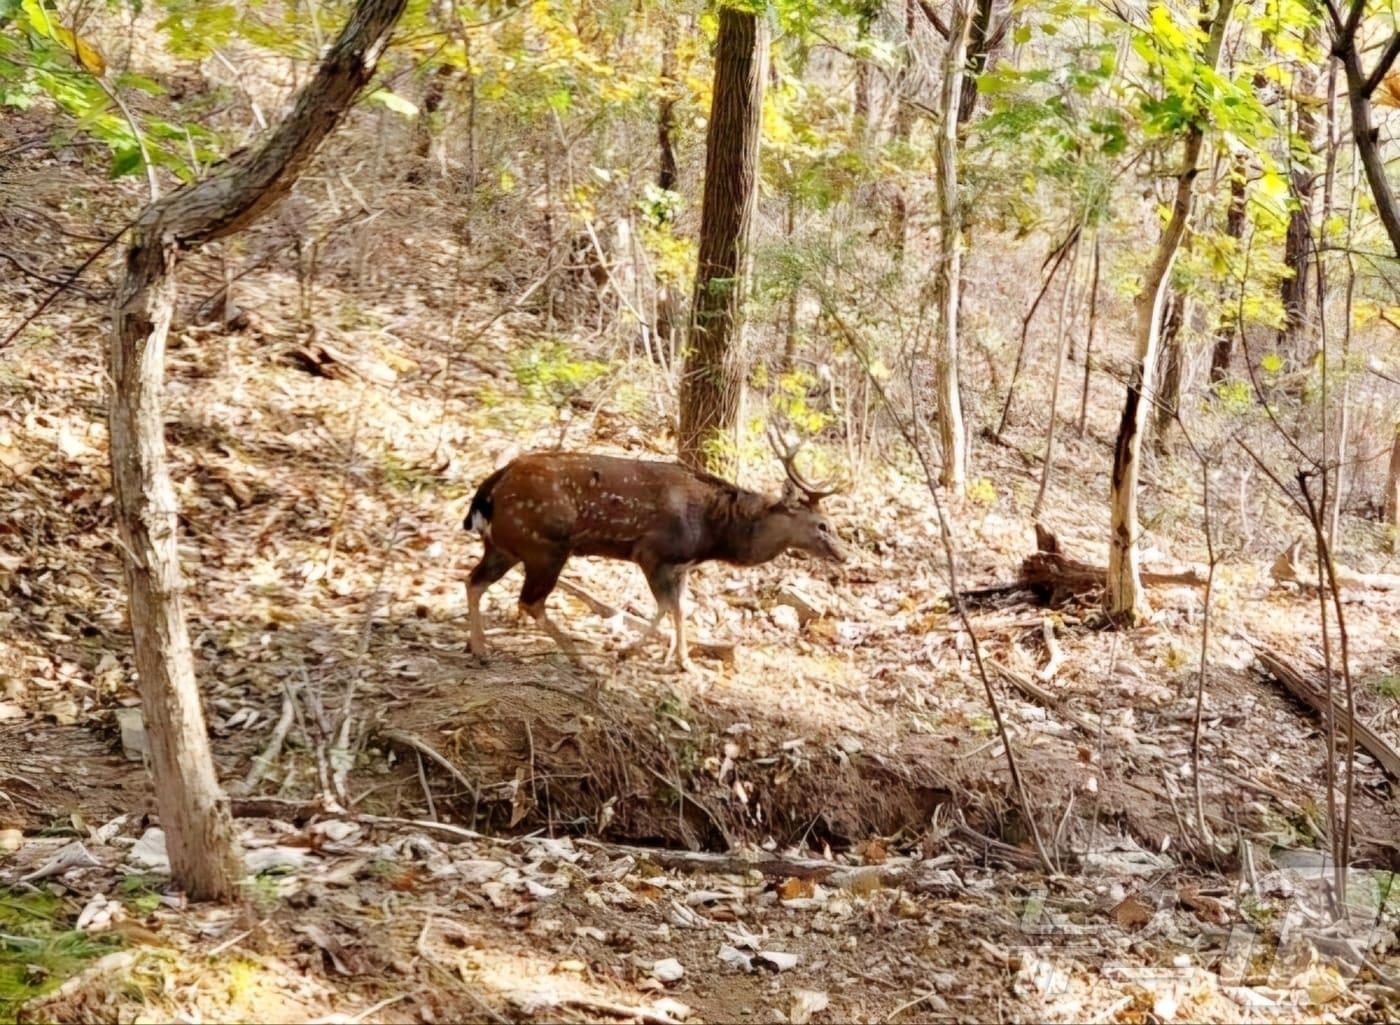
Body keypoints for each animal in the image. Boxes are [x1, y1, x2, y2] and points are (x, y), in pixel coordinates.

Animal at [464, 431, 845, 677]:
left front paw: (684, 661)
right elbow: (664, 607)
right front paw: (628, 650)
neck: (713, 533)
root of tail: (492, 485)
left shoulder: (681, 565)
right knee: (530, 601)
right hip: (545, 546)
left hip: (505, 545)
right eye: (823, 525)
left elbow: (681, 608)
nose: (844, 556)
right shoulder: (652, 552)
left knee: (473, 581)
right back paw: (579, 659)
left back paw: (479, 650)